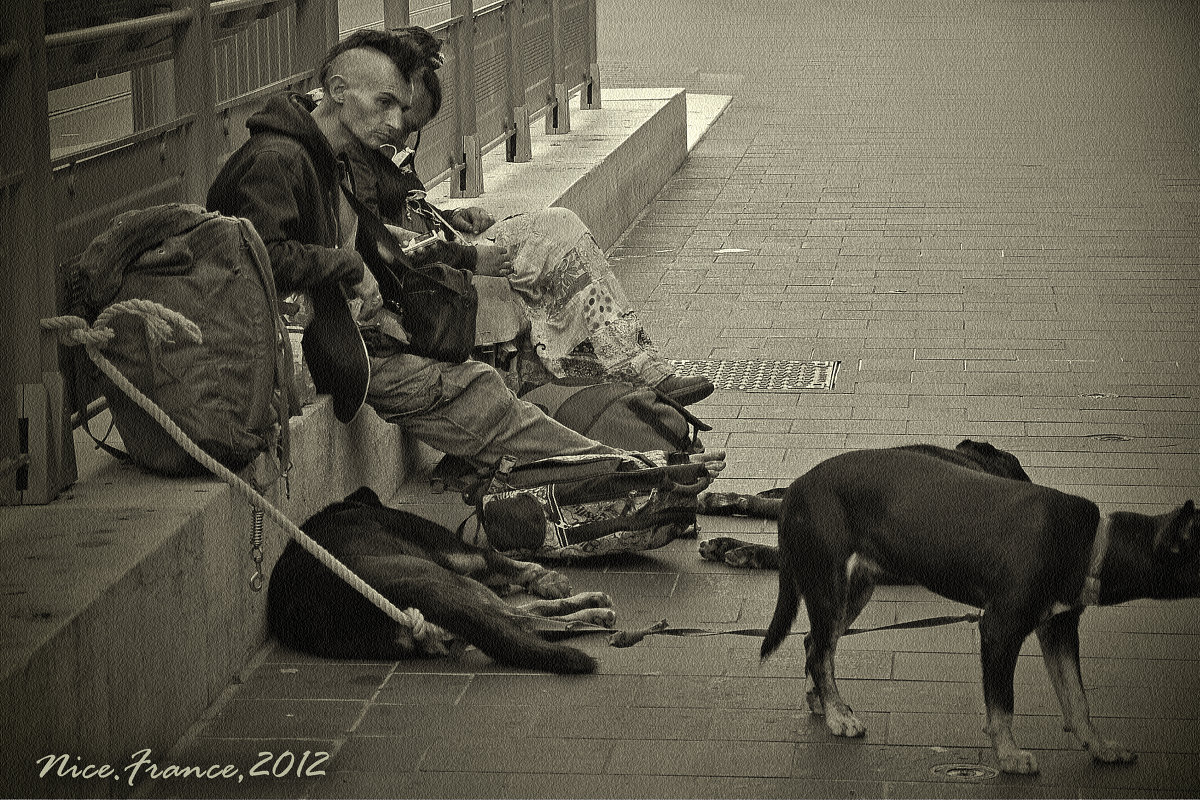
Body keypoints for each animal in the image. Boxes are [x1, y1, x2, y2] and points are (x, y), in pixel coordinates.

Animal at [268, 489, 614, 676]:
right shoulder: (463, 554)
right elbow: (510, 564)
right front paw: (548, 579)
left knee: (517, 625)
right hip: (453, 580)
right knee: (522, 619)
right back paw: (593, 610)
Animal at [763, 448, 1195, 772]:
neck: (1090, 543)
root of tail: (795, 489)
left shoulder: (1058, 628)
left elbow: (1077, 699)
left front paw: (1100, 747)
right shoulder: (1000, 628)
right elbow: (1003, 704)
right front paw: (1009, 756)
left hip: (854, 589)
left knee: (816, 643)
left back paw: (824, 702)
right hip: (828, 584)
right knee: (820, 650)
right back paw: (838, 715)